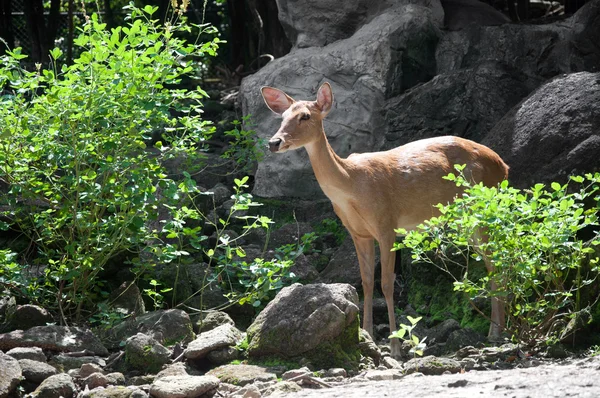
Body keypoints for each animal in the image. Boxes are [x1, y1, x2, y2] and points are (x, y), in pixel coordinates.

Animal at [260, 82, 508, 356]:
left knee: (496, 260)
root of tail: (503, 166)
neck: (351, 184)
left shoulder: (386, 224)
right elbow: (366, 282)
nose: (274, 142)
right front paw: (367, 335)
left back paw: (496, 332)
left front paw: (395, 347)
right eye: (282, 116)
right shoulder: (358, 233)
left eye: (305, 116)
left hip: (483, 205)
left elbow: (387, 284)